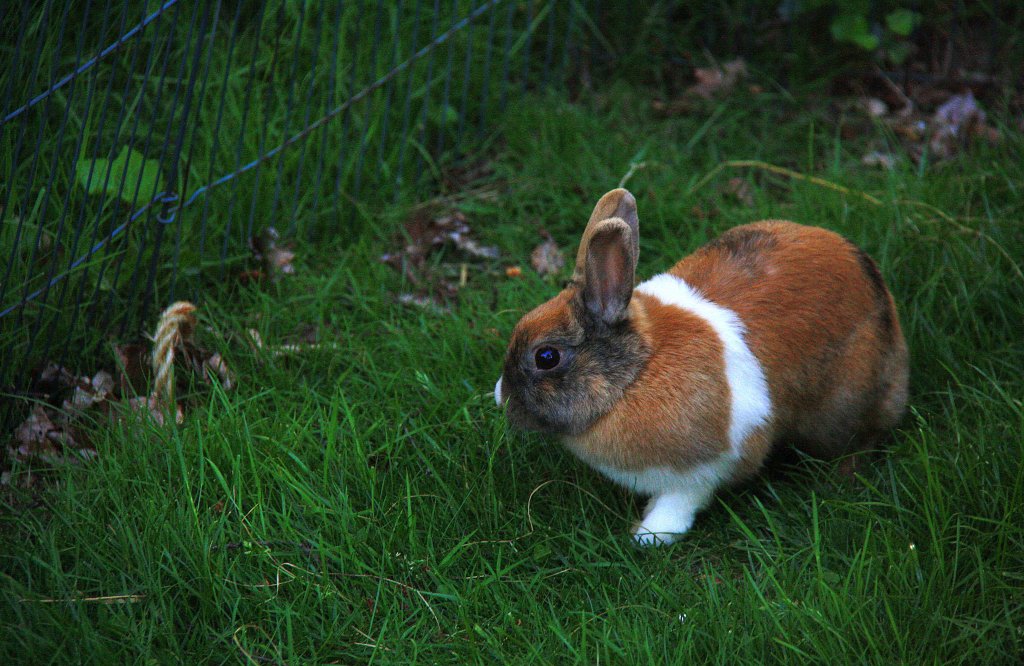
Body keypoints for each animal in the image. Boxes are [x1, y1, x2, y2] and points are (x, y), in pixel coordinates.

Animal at [491, 186, 909, 545]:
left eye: (546, 357)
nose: (500, 397)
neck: (636, 373)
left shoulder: (709, 465)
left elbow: (682, 500)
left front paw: (649, 535)